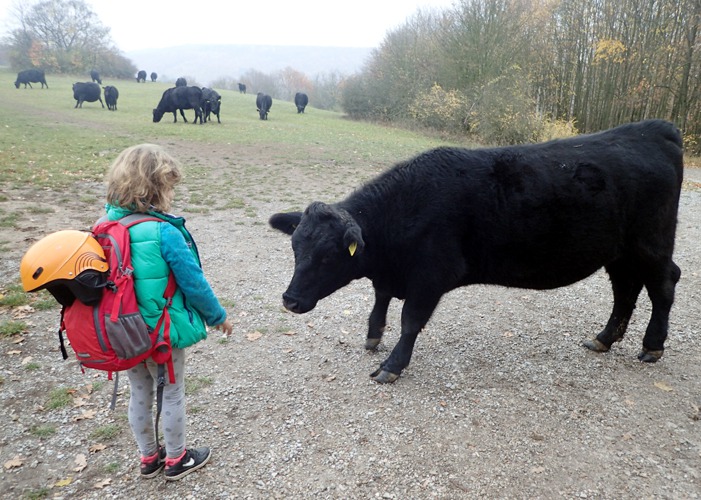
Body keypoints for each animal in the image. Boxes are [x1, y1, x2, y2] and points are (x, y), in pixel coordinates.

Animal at [270, 120, 684, 382]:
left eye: (328, 256)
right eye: (295, 247)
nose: (290, 300)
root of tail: (654, 129)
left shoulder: (431, 275)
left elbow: (410, 321)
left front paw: (392, 365)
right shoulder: (392, 274)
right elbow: (381, 299)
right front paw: (373, 336)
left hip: (652, 244)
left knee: (663, 285)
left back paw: (652, 346)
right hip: (619, 252)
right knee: (625, 290)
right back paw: (604, 339)